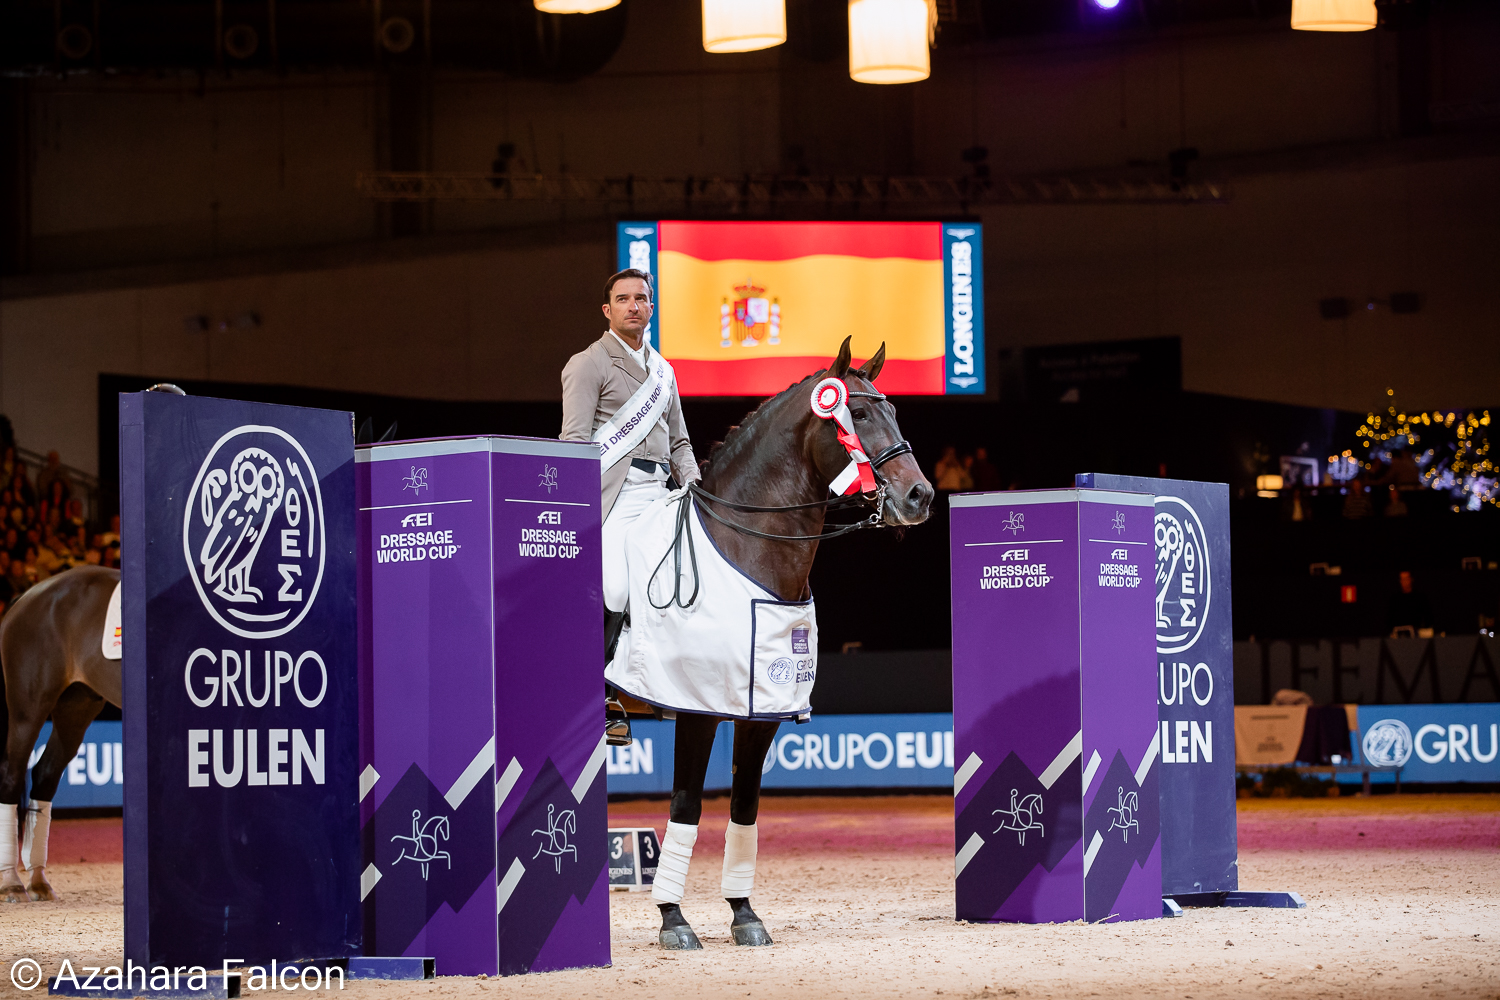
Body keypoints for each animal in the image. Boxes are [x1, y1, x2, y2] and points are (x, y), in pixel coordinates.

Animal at [0, 566, 120, 905]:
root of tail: (27, 595)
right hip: (28, 707)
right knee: (12, 774)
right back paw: (12, 882)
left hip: (76, 706)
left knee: (45, 774)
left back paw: (38, 879)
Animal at [651, 340, 930, 953]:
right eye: (859, 414)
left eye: (896, 410)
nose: (919, 494)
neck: (743, 549)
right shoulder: (695, 708)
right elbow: (685, 801)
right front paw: (673, 920)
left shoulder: (764, 708)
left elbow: (744, 804)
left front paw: (743, 914)